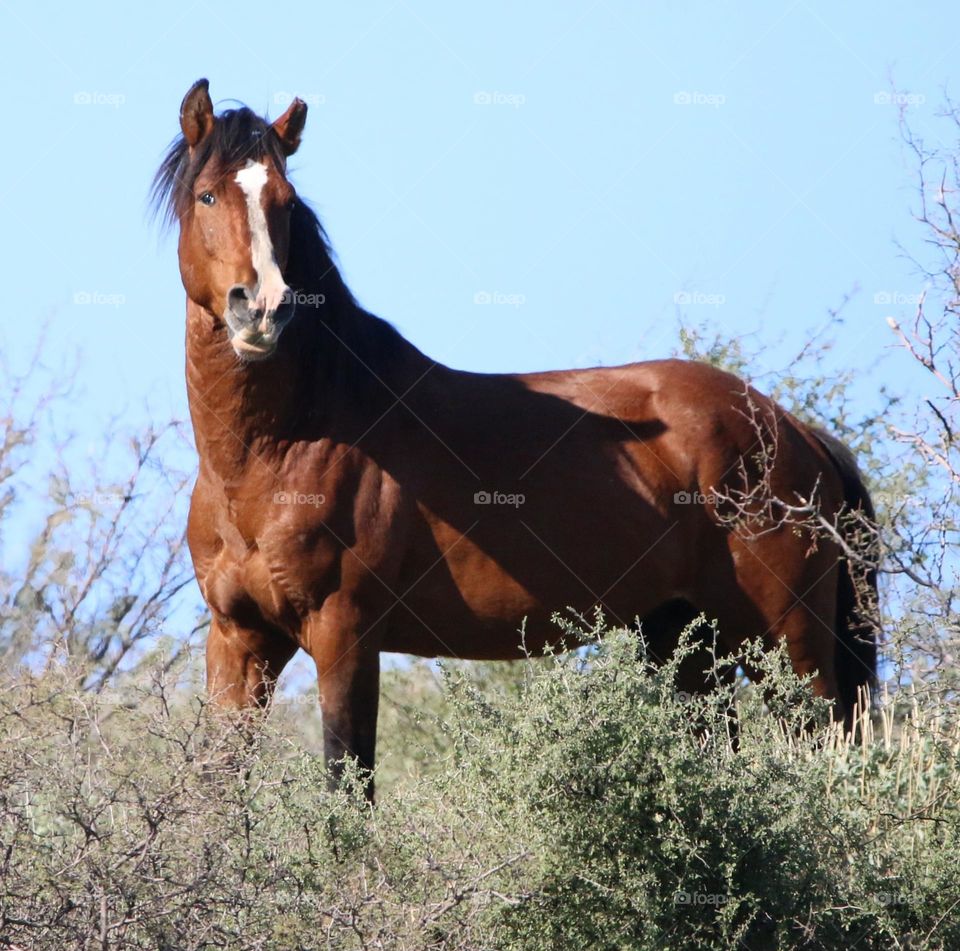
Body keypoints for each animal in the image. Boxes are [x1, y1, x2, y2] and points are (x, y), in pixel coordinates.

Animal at [153, 79, 877, 800]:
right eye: (207, 195)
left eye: (285, 202)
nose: (263, 310)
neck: (282, 450)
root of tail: (794, 431)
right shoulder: (241, 638)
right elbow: (215, 787)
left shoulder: (345, 634)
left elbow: (347, 785)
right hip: (687, 647)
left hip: (788, 648)